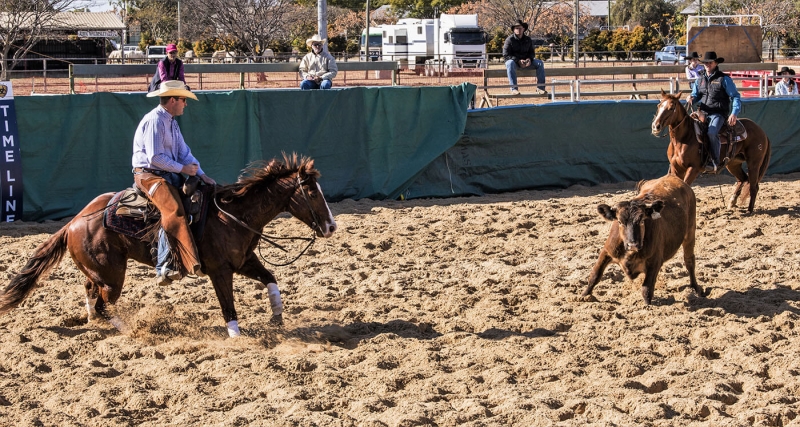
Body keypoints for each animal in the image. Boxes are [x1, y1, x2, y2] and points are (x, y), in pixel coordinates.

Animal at [0, 154, 336, 338]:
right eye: (312, 193)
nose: (331, 227)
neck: (234, 215)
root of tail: (73, 222)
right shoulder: (220, 271)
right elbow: (228, 305)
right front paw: (236, 335)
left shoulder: (243, 261)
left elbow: (271, 279)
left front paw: (277, 316)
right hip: (113, 275)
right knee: (106, 302)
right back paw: (128, 329)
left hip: (101, 271)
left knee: (91, 291)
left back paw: (94, 320)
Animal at [648, 90, 776, 212]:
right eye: (659, 105)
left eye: (671, 108)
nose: (655, 126)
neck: (684, 138)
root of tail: (762, 132)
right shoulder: (676, 168)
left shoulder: (693, 168)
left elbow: (686, 186)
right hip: (733, 163)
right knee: (743, 179)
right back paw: (732, 201)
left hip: (754, 163)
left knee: (754, 186)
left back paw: (749, 210)